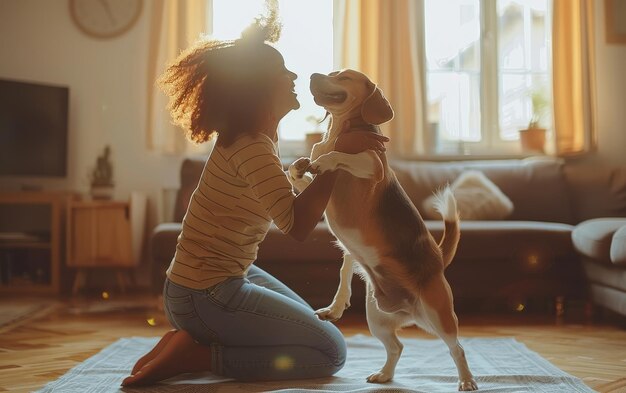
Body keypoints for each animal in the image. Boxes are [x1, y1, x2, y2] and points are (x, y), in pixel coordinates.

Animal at [290, 68, 476, 388]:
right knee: (397, 346)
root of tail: (437, 260)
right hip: (377, 319)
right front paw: (300, 167)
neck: (340, 130)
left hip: (438, 316)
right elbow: (295, 171)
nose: (313, 74)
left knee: (458, 348)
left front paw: (325, 160)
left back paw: (466, 380)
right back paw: (385, 374)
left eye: (344, 76)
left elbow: (337, 157)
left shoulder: (371, 166)